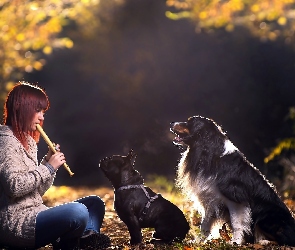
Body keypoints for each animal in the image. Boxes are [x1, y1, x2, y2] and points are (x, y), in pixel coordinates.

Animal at [171, 115, 295, 246]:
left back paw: (264, 242)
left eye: (190, 122)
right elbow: (205, 223)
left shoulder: (236, 199)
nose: (171, 123)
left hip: (267, 217)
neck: (210, 152)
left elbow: (237, 223)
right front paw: (198, 241)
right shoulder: (212, 199)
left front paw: (235, 242)